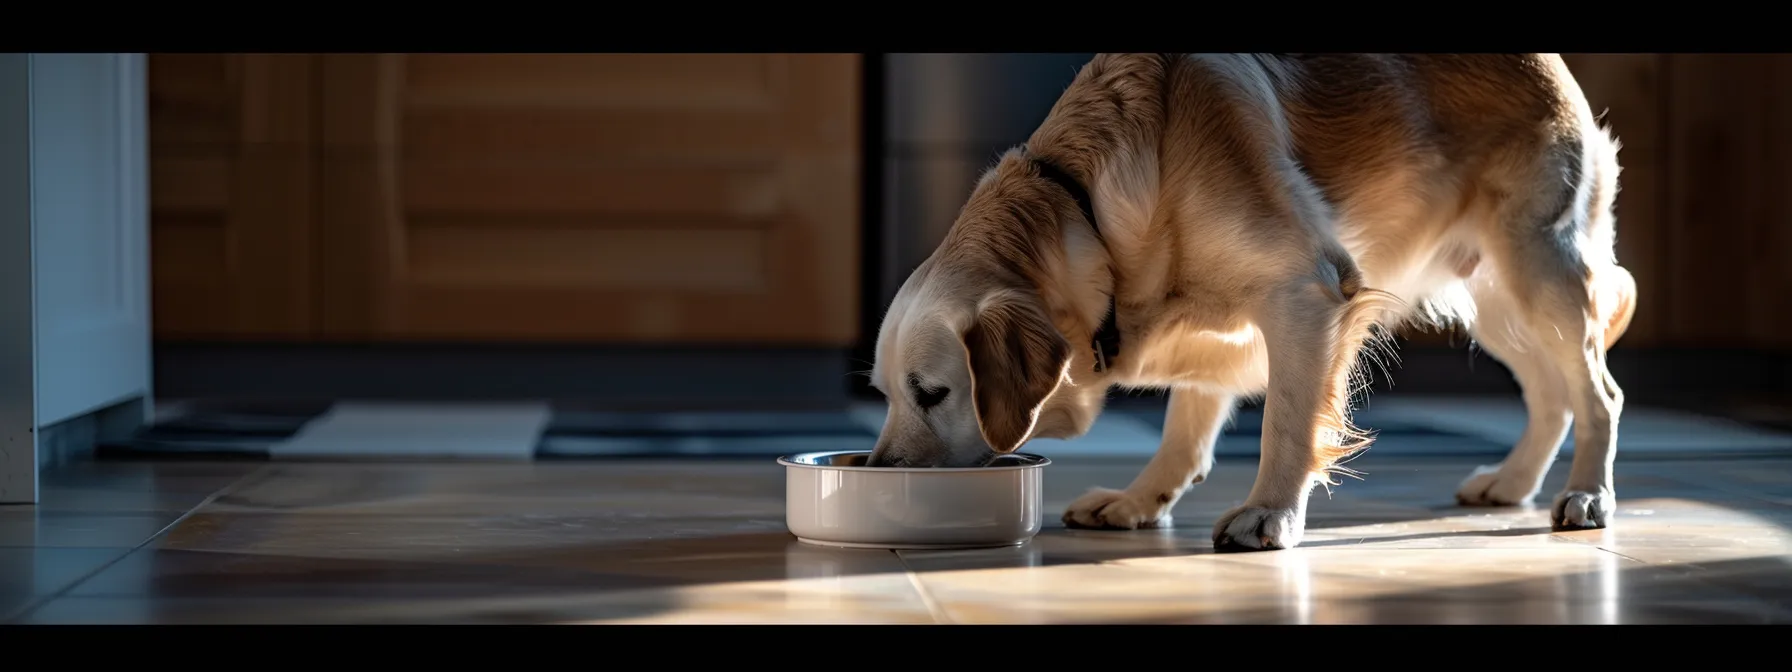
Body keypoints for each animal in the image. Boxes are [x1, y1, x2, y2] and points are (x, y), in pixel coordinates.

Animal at [863, 55, 1641, 551]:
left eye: (932, 393)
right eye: (885, 394)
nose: (877, 473)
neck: (1089, 211)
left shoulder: (1304, 292)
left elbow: (1288, 423)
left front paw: (1270, 514)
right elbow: (1186, 426)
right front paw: (1139, 500)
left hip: (1538, 268)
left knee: (1599, 392)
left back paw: (1589, 497)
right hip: (1494, 301)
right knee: (1552, 393)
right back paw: (1511, 483)